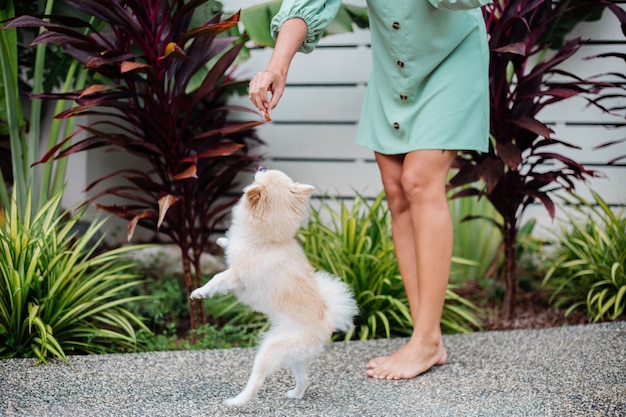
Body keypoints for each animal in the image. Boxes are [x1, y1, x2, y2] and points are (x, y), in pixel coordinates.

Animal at [189, 167, 356, 406]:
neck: (269, 241)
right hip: (295, 358)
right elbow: (230, 245)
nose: (262, 167)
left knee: (256, 381)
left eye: (263, 175)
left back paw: (236, 402)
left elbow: (217, 279)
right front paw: (223, 241)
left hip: (269, 350)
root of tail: (326, 322)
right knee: (304, 378)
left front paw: (199, 292)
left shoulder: (236, 275)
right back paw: (295, 394)